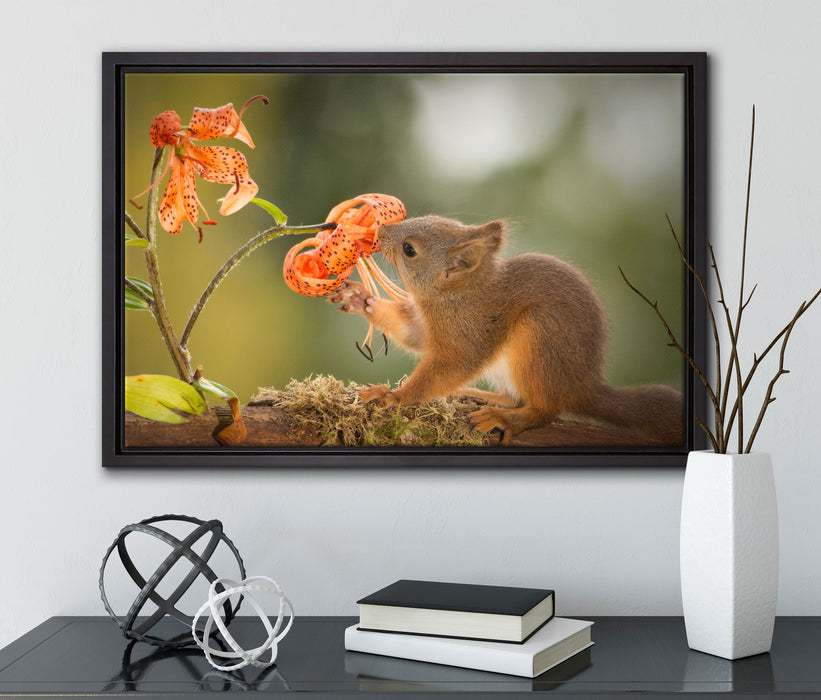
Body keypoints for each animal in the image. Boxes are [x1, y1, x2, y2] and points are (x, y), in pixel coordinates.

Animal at [328, 215, 683, 446]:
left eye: (409, 250)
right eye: (427, 216)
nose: (380, 229)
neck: (457, 294)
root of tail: (583, 387)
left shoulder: (469, 331)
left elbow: (447, 368)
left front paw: (393, 397)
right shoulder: (429, 326)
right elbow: (413, 335)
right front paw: (361, 299)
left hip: (540, 338)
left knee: (544, 409)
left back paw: (505, 418)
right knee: (513, 397)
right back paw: (475, 394)